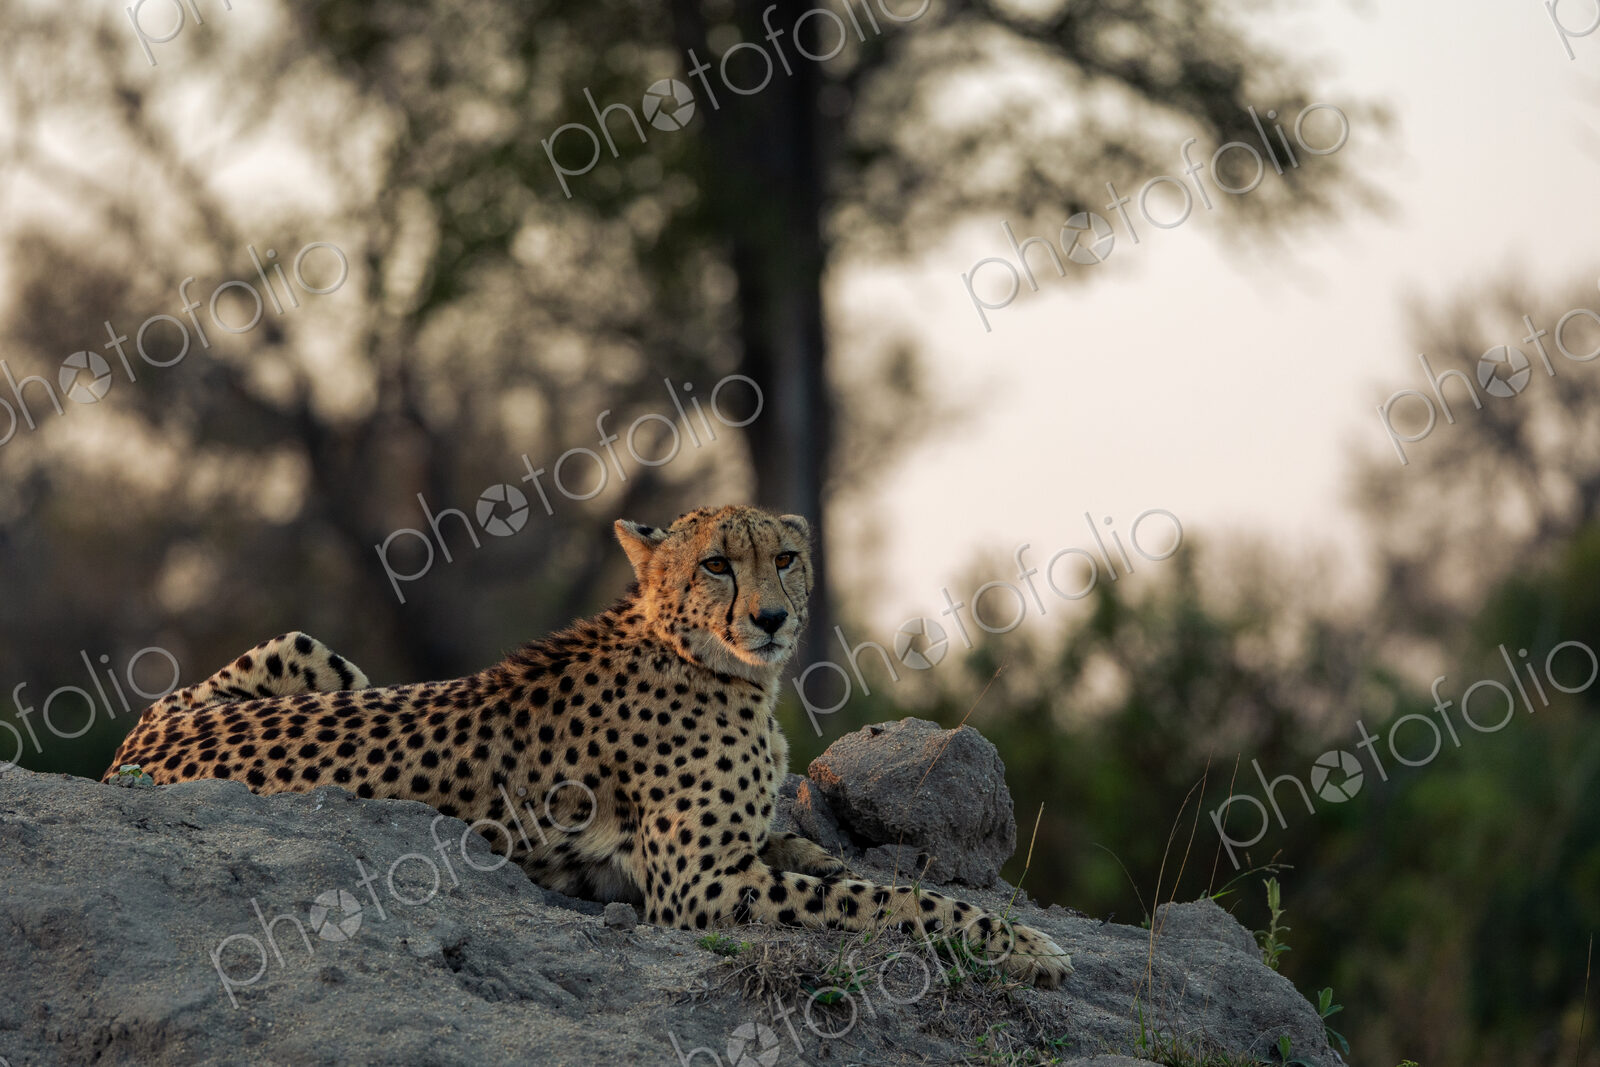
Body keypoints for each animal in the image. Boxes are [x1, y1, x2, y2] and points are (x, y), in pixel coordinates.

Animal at [103, 504, 1073, 987]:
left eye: (787, 556)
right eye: (717, 563)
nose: (772, 616)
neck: (706, 657)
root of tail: (137, 739)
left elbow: (811, 854)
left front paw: (812, 845)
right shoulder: (699, 887)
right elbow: (901, 902)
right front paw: (1022, 944)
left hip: (310, 651)